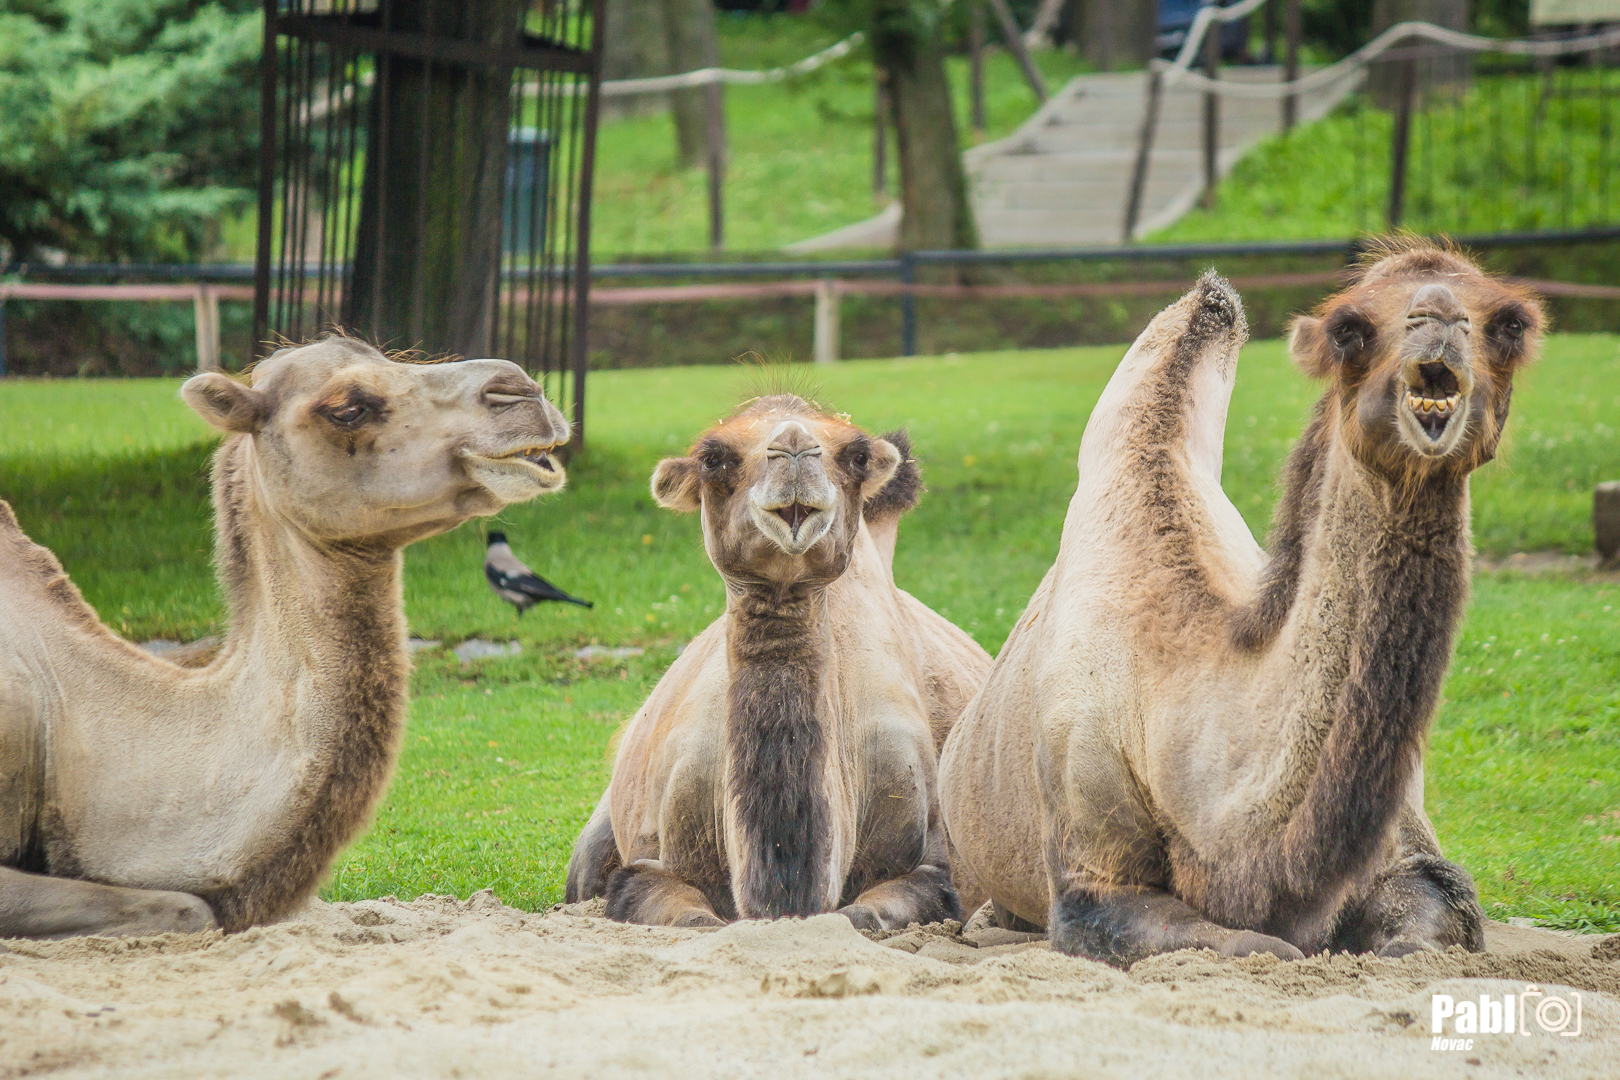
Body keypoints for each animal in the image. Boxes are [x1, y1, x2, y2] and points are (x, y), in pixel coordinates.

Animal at [564, 395, 991, 929]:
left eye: (857, 456)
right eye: (713, 458)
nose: (793, 446)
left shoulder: (933, 864)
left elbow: (862, 914)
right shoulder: (649, 860)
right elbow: (695, 919)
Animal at [939, 243, 1543, 965]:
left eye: (1509, 325)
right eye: (1349, 329)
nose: (1441, 321)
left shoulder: (1405, 845)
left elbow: (1432, 922)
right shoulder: (1092, 865)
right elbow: (1258, 945)